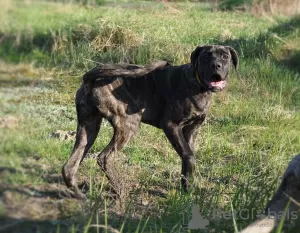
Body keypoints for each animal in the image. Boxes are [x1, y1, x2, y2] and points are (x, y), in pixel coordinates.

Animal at [62, 44, 239, 198]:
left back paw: (79, 195)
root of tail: (89, 78)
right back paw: (120, 189)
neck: (198, 86)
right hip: (128, 125)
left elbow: (187, 156)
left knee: (70, 166)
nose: (216, 65)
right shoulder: (171, 125)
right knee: (104, 157)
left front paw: (187, 188)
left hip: (88, 128)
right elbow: (189, 155)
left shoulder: (191, 130)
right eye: (205, 56)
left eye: (225, 57)